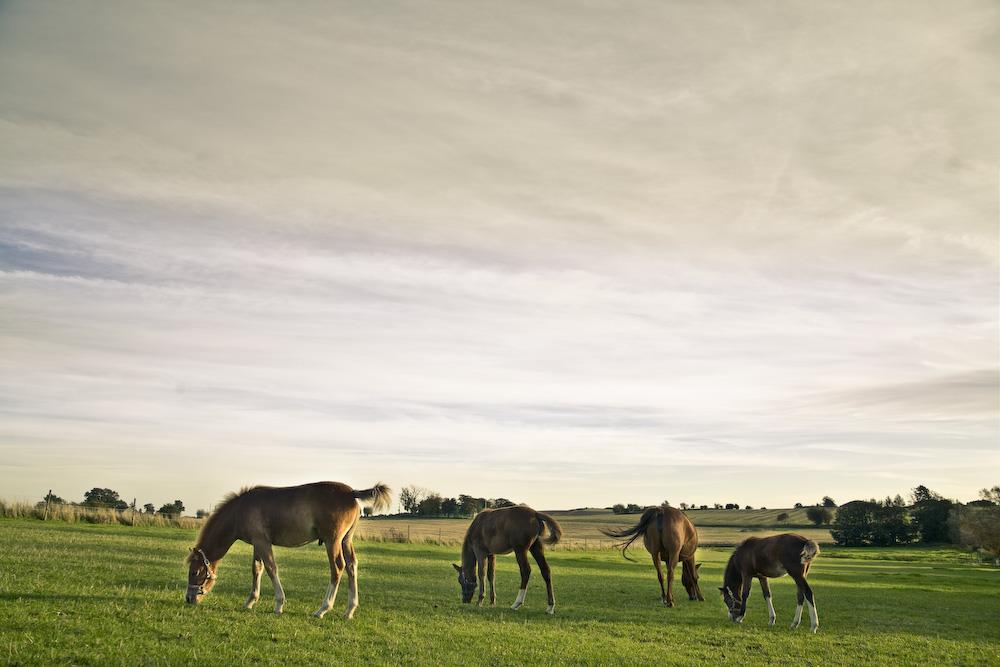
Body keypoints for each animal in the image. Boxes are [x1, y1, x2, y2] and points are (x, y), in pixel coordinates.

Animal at [186, 480, 388, 620]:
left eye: (194, 572)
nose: (188, 599)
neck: (240, 510)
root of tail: (352, 493)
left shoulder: (262, 542)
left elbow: (271, 568)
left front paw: (278, 604)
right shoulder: (257, 543)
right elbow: (257, 569)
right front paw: (250, 601)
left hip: (333, 542)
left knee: (338, 568)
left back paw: (322, 609)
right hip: (346, 540)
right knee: (352, 566)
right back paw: (349, 611)